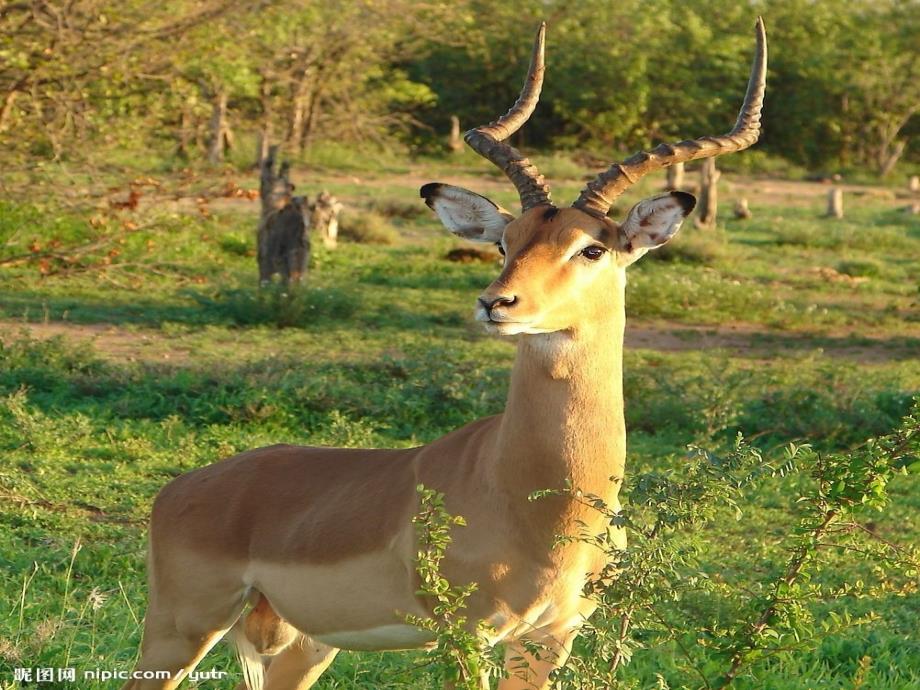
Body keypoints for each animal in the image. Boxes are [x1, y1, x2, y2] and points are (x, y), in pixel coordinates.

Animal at [122, 18, 768, 688]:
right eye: (507, 241)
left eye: (592, 248)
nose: (496, 303)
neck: (540, 500)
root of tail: (178, 490)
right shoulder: (468, 636)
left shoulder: (549, 637)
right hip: (181, 628)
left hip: (302, 644)